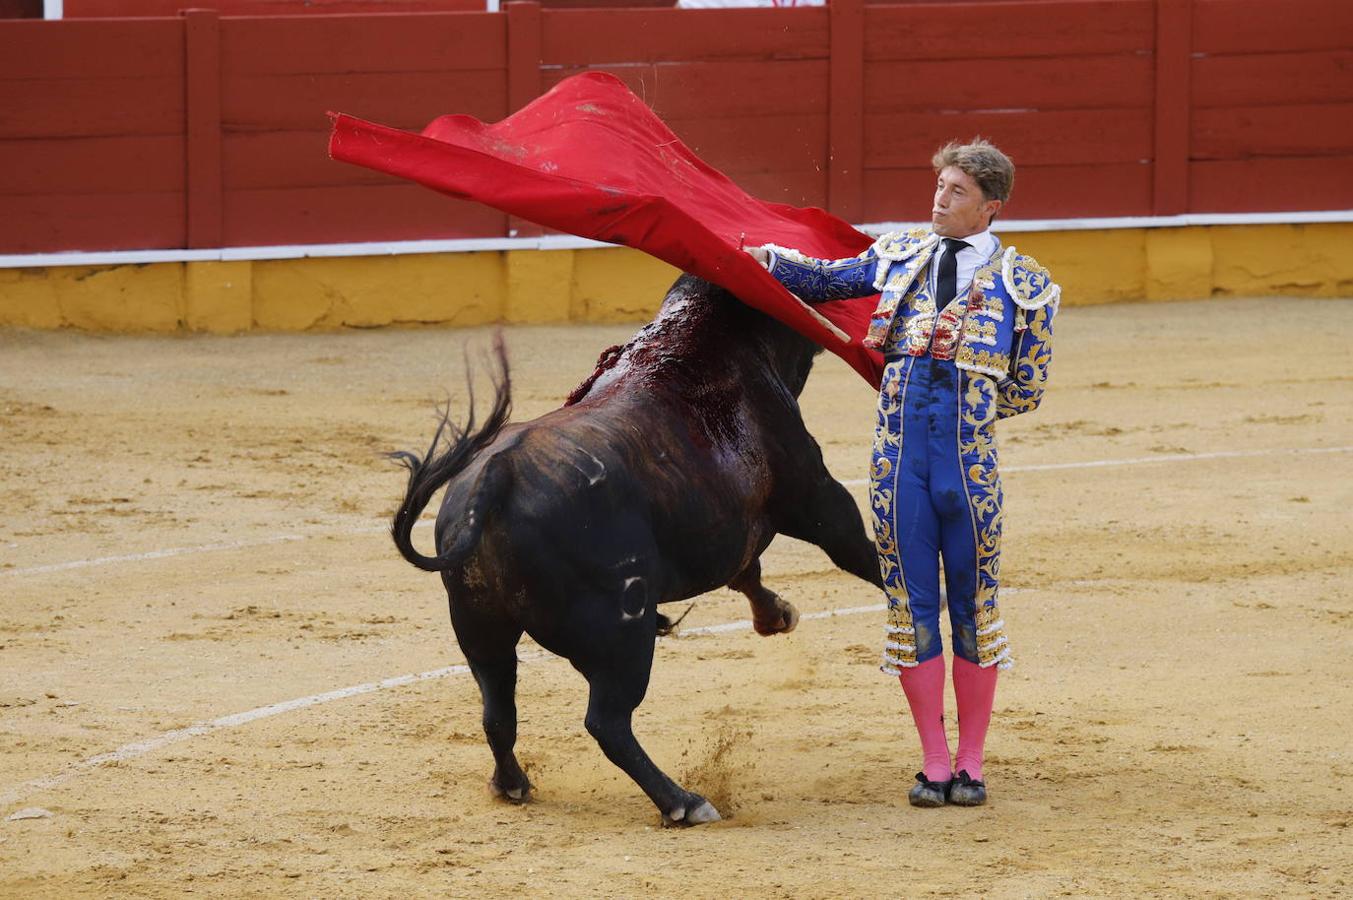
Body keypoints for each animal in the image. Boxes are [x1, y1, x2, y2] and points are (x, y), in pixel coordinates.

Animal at [386, 272, 882, 822]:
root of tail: (496, 477)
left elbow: (747, 571)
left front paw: (776, 615)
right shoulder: (813, 493)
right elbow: (854, 547)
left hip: (480, 630)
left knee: (497, 710)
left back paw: (512, 784)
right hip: (622, 634)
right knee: (607, 721)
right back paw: (684, 802)